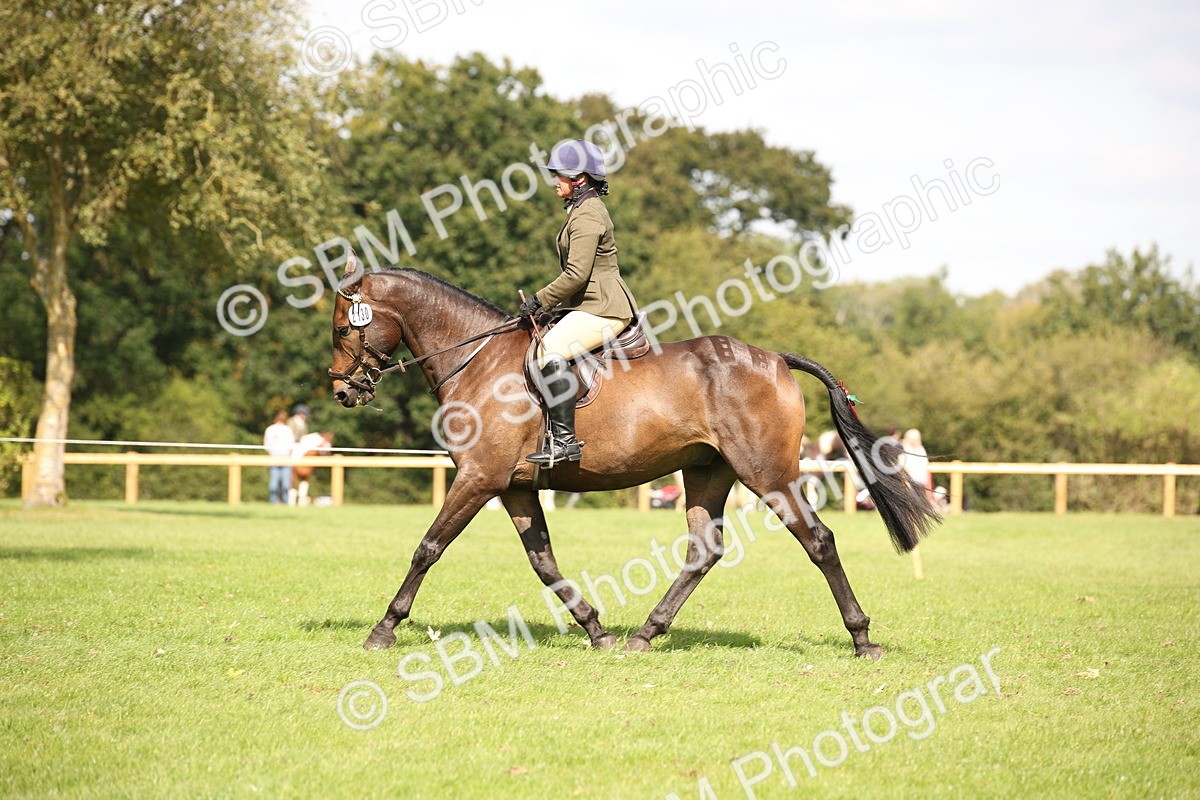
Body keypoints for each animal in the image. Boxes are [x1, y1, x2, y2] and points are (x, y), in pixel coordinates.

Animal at [328, 254, 940, 658]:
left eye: (341, 328)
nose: (341, 391)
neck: (478, 360)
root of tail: (774, 358)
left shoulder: (478, 478)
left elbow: (427, 548)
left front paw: (384, 629)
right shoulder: (515, 486)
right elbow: (544, 562)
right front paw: (595, 630)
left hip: (767, 473)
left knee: (819, 541)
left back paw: (862, 639)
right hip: (708, 471)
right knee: (704, 549)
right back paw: (645, 634)